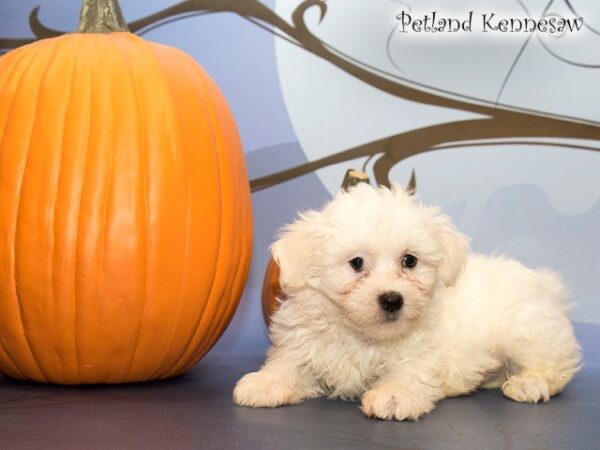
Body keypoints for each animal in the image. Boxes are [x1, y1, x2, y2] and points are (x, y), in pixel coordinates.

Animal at [234, 184, 580, 422]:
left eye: (409, 260)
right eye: (356, 263)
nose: (392, 299)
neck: (363, 336)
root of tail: (546, 285)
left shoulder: (423, 353)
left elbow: (409, 372)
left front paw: (393, 395)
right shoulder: (305, 342)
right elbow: (289, 363)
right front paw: (264, 383)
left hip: (525, 329)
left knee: (555, 365)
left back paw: (529, 383)